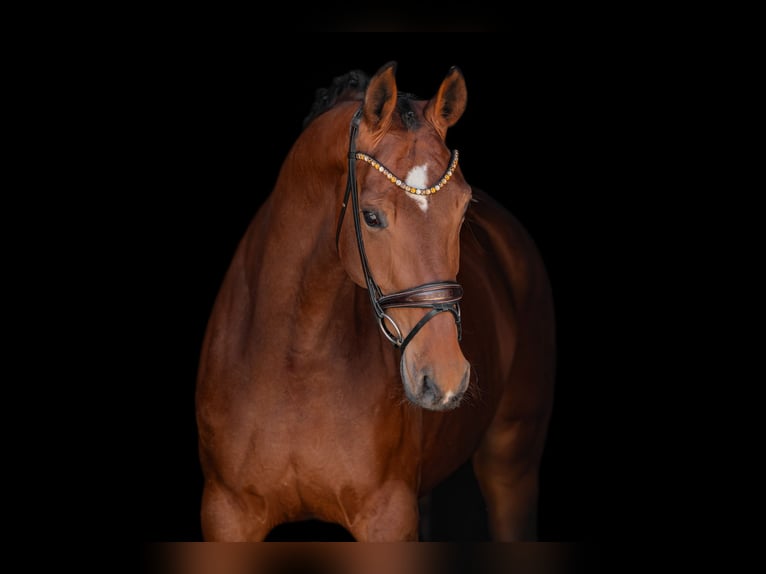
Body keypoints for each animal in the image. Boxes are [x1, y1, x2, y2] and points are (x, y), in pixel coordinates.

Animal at [195, 61, 556, 541]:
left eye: (463, 210)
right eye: (370, 216)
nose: (445, 377)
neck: (295, 363)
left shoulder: (388, 517)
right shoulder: (226, 515)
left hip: (511, 464)